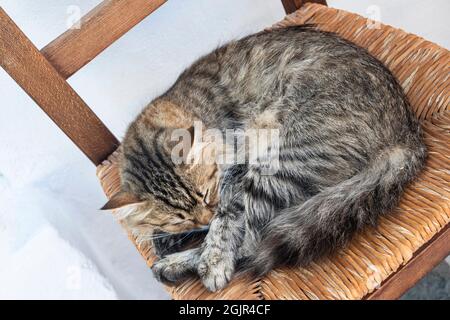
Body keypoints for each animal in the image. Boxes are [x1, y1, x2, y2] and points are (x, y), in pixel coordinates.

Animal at [101, 26, 426, 292]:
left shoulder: (236, 170)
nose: (205, 215)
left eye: (206, 195)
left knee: (251, 243)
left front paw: (212, 259)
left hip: (279, 163)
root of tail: (406, 133)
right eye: (181, 218)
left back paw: (179, 264)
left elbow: (224, 223)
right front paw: (167, 237)